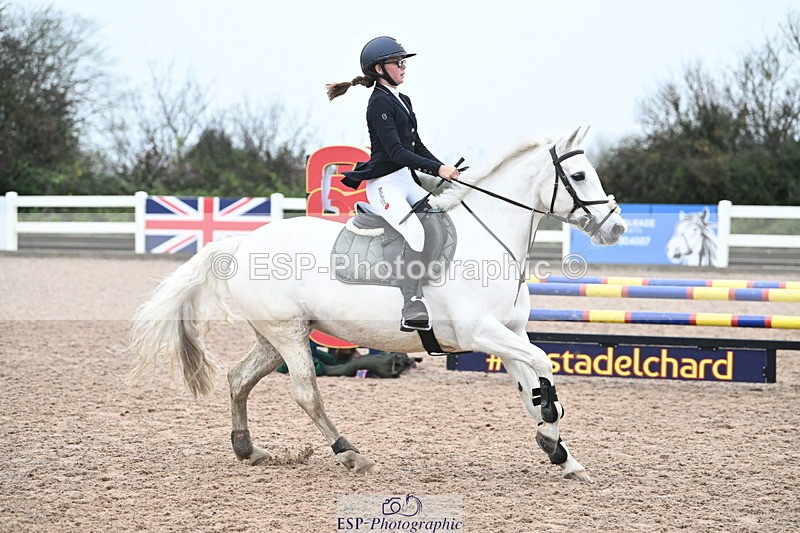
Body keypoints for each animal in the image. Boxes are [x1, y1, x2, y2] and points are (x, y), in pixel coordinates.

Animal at [127, 125, 627, 482]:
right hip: (289, 335)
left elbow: (531, 388)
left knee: (238, 378)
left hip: (276, 336)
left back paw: (247, 448)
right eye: (579, 176)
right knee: (306, 393)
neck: (490, 236)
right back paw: (351, 455)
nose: (616, 228)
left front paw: (560, 453)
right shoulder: (482, 333)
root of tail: (240, 244)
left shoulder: (509, 334)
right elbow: (543, 366)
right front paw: (553, 436)